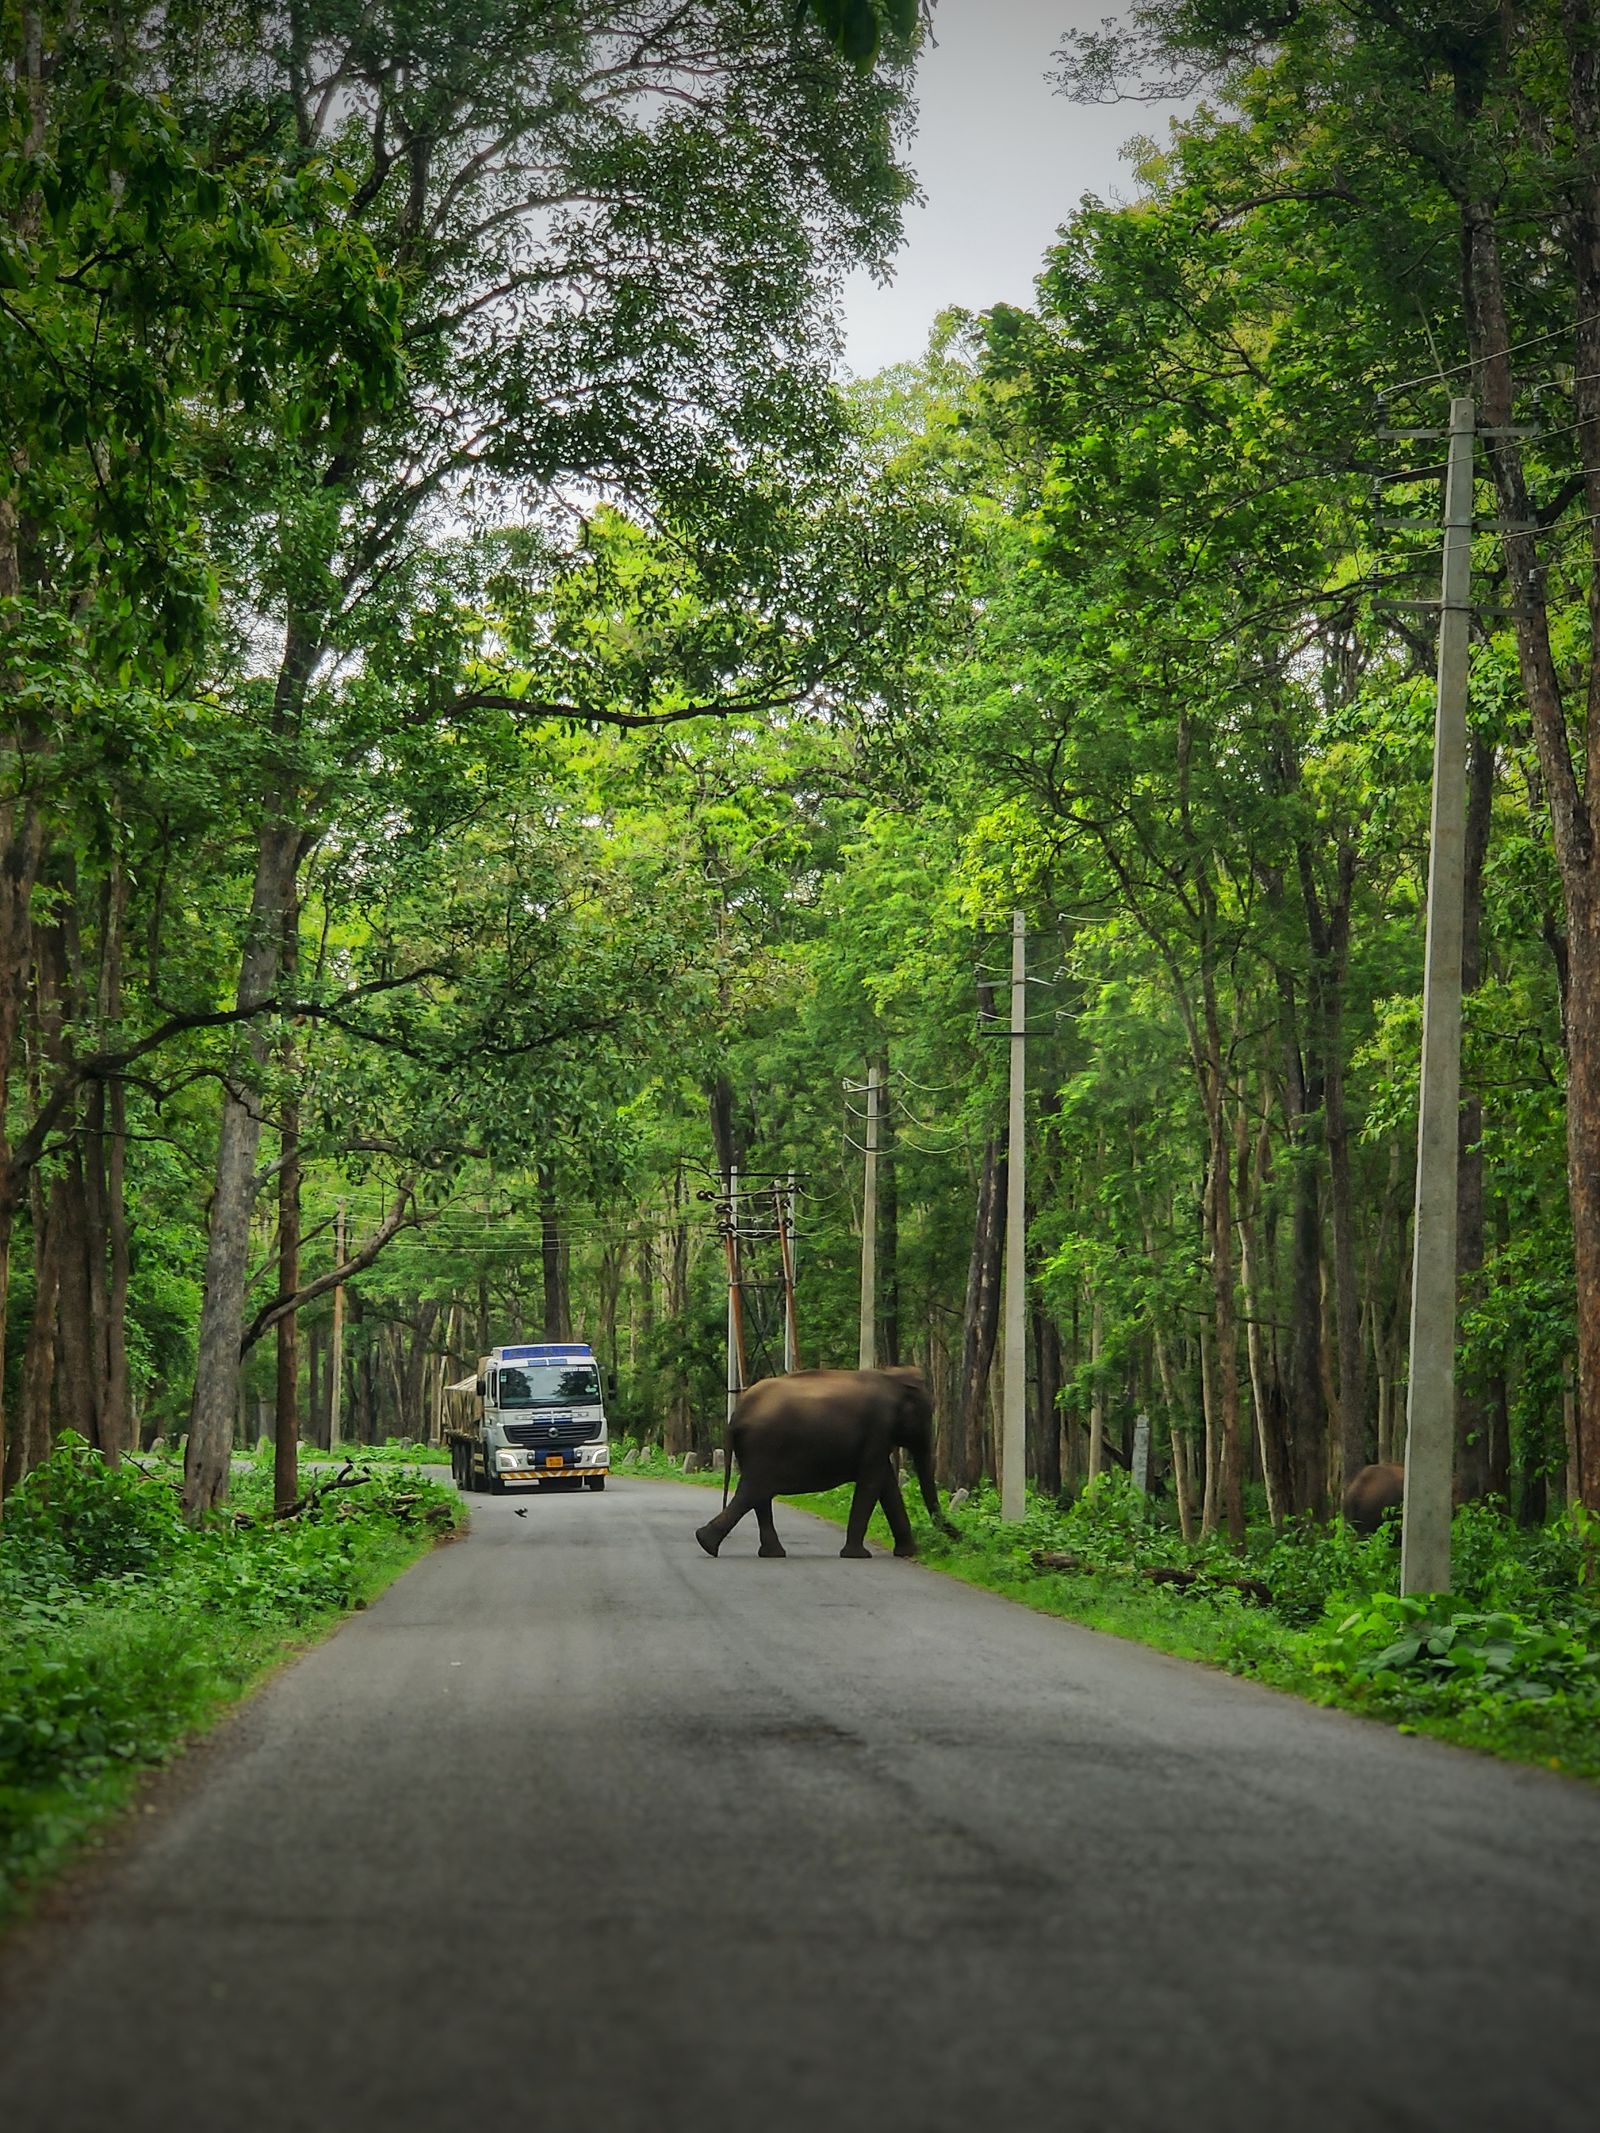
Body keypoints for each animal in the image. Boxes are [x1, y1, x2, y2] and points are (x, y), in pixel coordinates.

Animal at [694, 1366, 955, 1561]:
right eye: (926, 1413)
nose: (957, 1536)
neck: (891, 1375)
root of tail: (736, 1415)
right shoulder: (879, 1428)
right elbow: (872, 1483)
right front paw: (858, 1555)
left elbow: (886, 1485)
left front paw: (908, 1552)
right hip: (764, 1446)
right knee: (753, 1491)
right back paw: (707, 1543)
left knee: (758, 1495)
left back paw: (767, 1552)